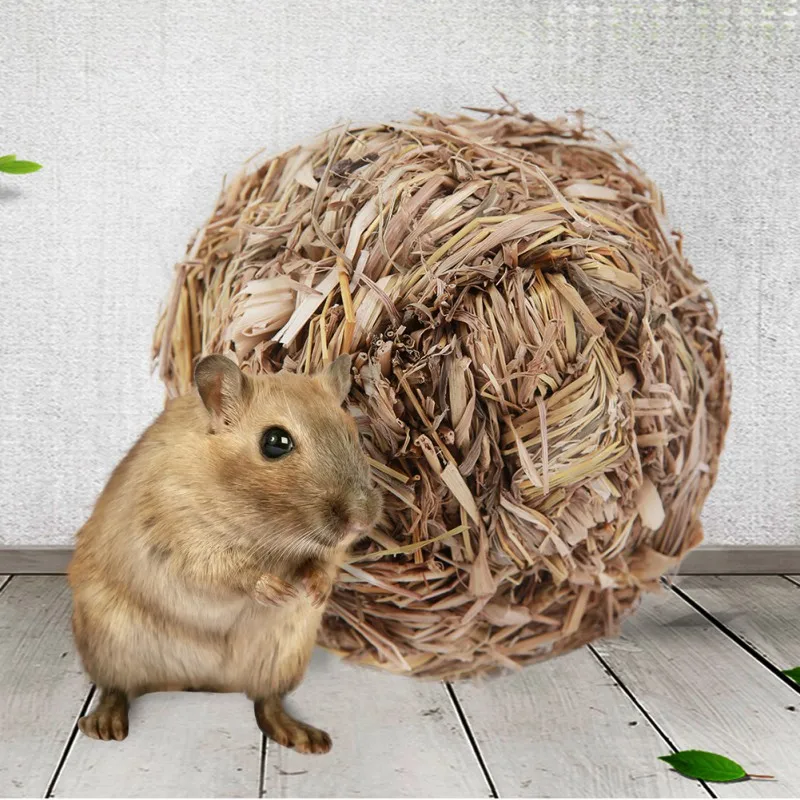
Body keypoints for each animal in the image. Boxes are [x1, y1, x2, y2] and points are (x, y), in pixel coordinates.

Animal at [67, 353, 382, 754]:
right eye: (275, 442)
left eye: (352, 434)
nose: (362, 521)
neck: (268, 534)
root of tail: (201, 684)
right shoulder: (180, 538)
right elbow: (228, 572)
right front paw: (277, 591)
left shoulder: (328, 552)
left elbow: (323, 563)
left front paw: (314, 592)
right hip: (107, 645)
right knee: (116, 689)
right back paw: (105, 726)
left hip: (282, 658)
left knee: (266, 701)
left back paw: (307, 739)